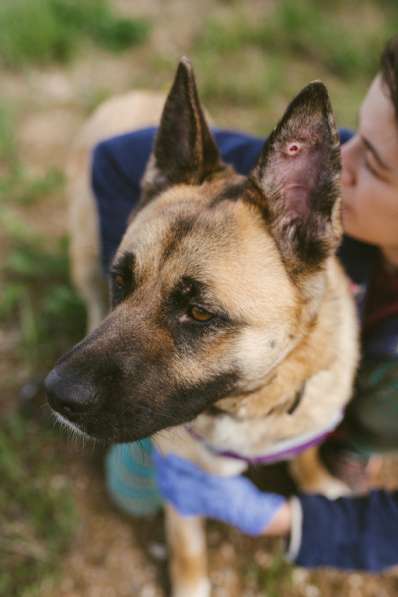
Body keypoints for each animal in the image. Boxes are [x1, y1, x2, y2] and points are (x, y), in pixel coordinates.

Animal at [45, 57, 358, 596]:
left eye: (199, 313)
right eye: (122, 280)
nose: (55, 395)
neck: (249, 402)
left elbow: (307, 454)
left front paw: (319, 484)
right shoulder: (184, 484)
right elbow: (188, 549)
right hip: (83, 255)